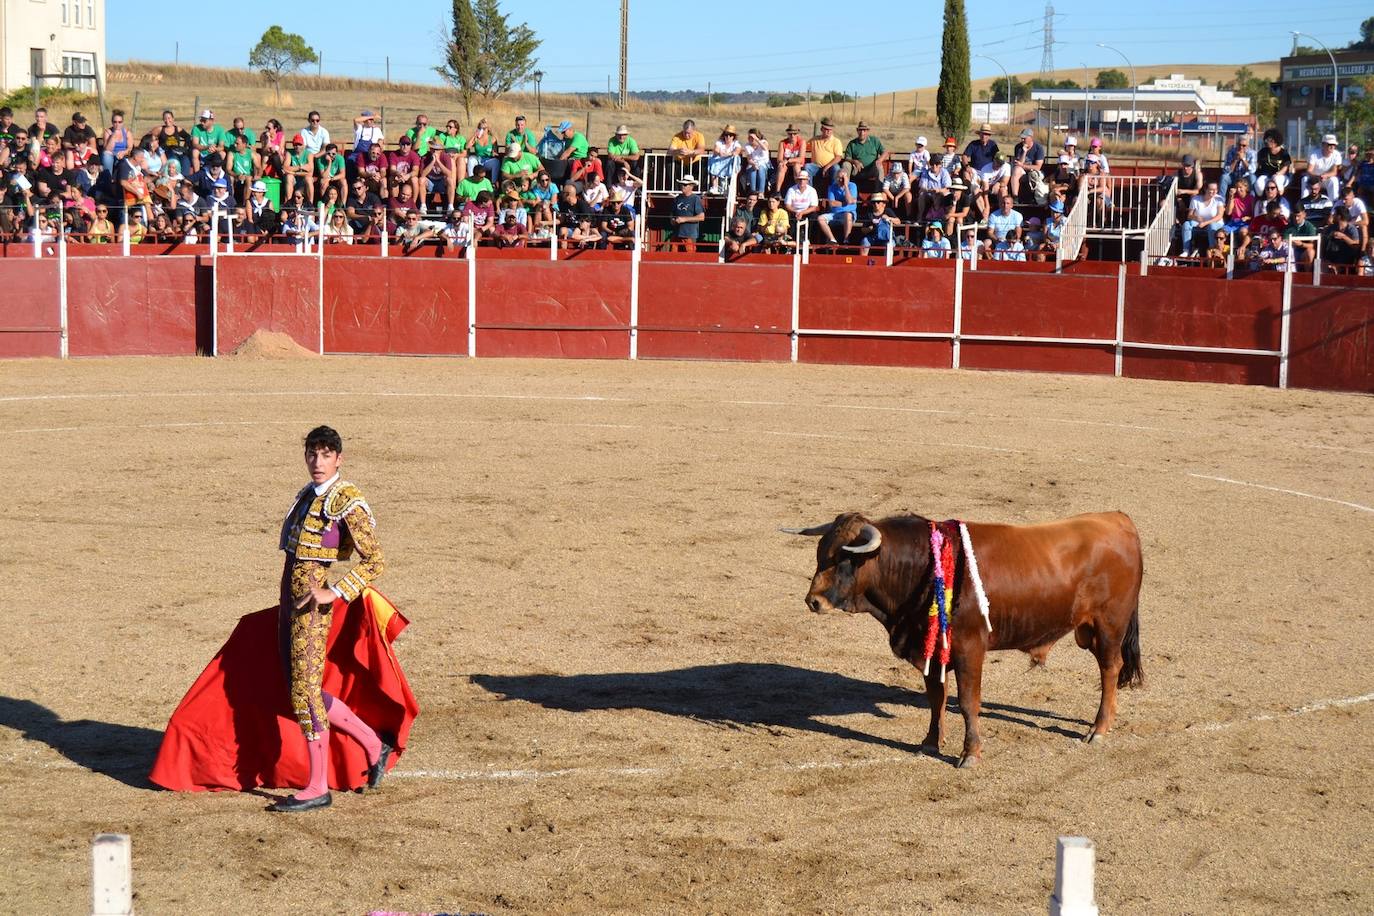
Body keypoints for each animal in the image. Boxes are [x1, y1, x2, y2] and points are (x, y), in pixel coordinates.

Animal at [780, 513, 1143, 769]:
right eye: (820, 553)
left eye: (844, 559)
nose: (813, 601)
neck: (921, 566)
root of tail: (1119, 519)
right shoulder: (930, 650)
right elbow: (936, 699)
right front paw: (930, 742)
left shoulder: (971, 649)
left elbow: (968, 703)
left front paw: (970, 753)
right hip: (1089, 631)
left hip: (1109, 626)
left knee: (1110, 669)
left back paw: (1098, 729)